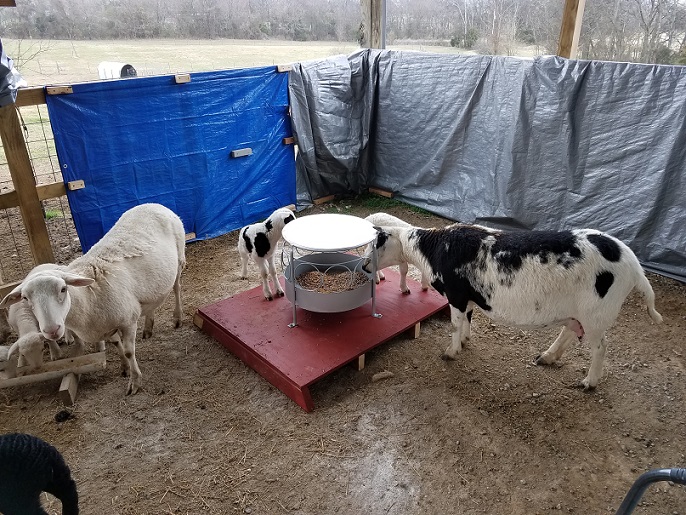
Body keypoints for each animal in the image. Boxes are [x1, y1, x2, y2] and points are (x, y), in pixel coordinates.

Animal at [0, 202, 187, 396]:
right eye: (25, 298)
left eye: (63, 289)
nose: (52, 330)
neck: (87, 299)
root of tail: (153, 204)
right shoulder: (105, 325)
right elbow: (116, 344)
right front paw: (124, 367)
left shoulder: (127, 321)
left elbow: (129, 351)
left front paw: (135, 381)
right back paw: (149, 327)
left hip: (179, 259)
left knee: (177, 288)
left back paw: (177, 317)